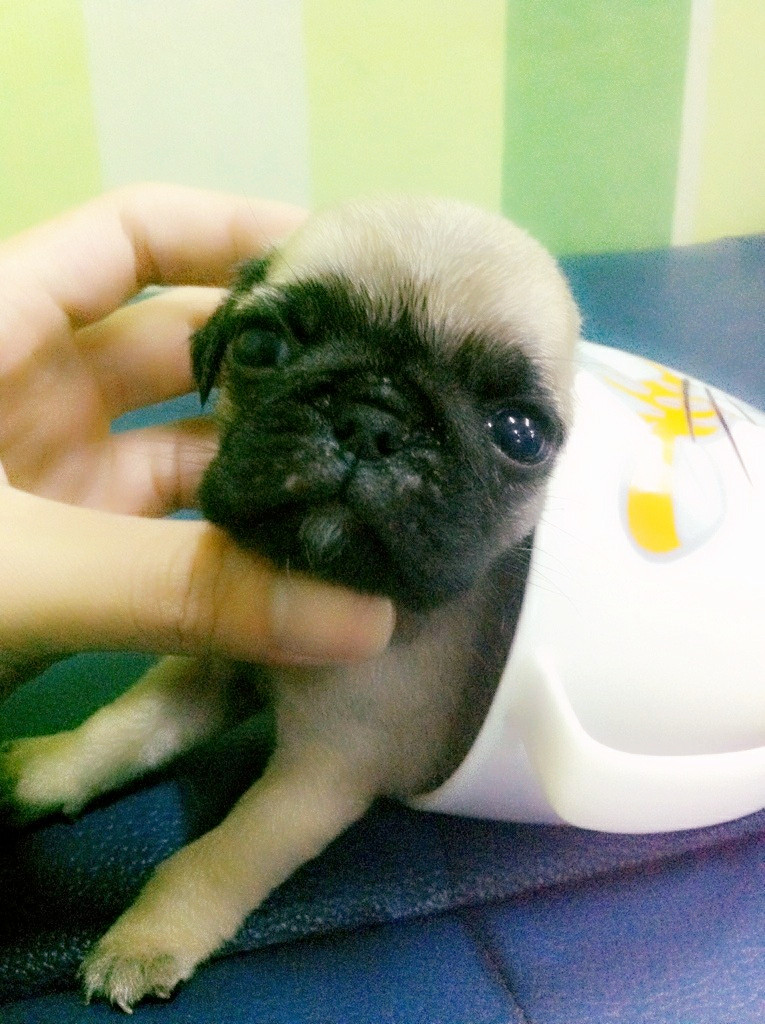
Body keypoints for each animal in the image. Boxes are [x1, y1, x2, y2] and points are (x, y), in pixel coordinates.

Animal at [0, 198, 579, 1010]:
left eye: (520, 434)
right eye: (259, 345)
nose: (373, 419)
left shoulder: (321, 776)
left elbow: (218, 857)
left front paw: (148, 936)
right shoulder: (214, 670)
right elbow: (123, 727)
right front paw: (46, 771)